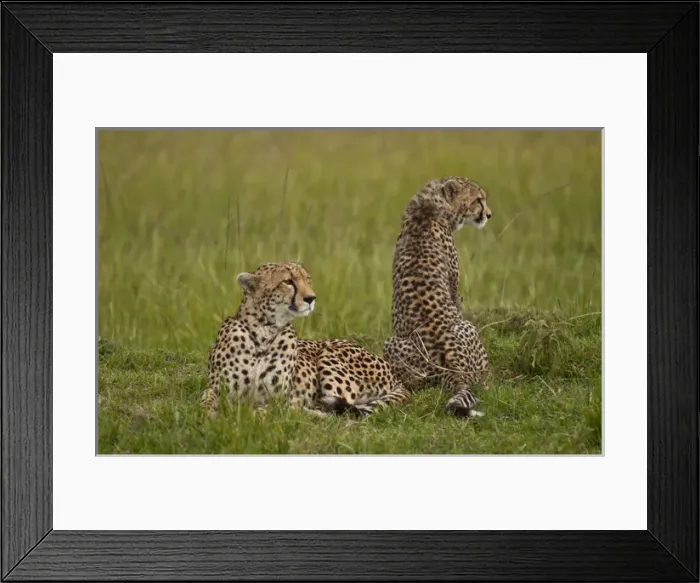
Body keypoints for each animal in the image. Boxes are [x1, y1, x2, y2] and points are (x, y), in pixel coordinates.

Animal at [200, 261, 410, 418]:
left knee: (343, 409)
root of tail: (392, 373)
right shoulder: (217, 388)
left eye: (307, 279)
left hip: (329, 356)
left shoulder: (279, 398)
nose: (311, 298)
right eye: (288, 281)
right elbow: (205, 399)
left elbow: (267, 411)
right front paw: (208, 416)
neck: (262, 332)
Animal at [382, 176, 493, 418]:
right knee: (481, 380)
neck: (432, 204)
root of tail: (451, 366)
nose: (489, 215)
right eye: (478, 200)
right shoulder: (454, 287)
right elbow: (457, 300)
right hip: (467, 329)